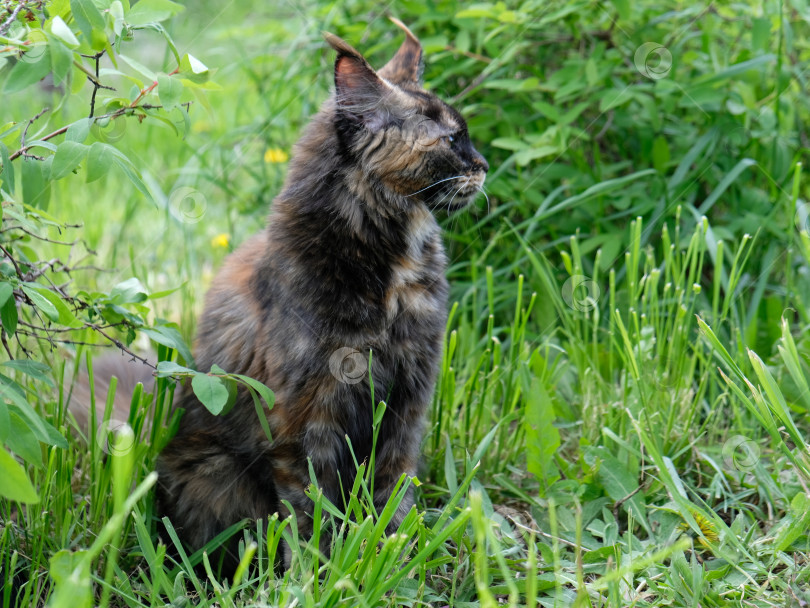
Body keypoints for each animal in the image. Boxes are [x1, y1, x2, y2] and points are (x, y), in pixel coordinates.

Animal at [155, 20, 490, 568]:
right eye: (450, 139)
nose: (483, 165)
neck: (391, 274)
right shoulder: (308, 415)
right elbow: (312, 510)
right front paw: (321, 570)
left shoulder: (406, 403)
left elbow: (391, 493)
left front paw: (393, 555)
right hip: (212, 469)